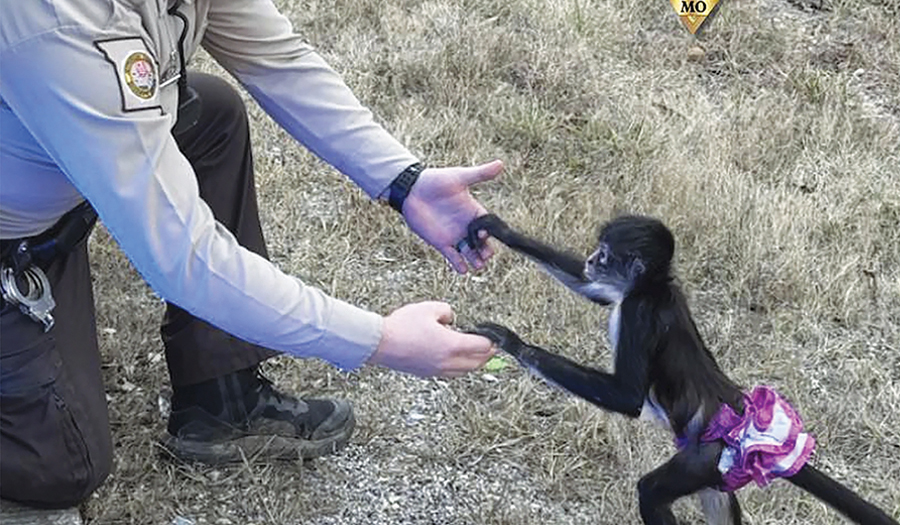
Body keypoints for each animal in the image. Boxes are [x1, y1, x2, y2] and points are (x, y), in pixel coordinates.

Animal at [465, 213, 898, 525]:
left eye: (604, 254)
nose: (590, 259)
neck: (653, 289)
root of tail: (741, 409)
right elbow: (592, 290)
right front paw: (499, 229)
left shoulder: (638, 313)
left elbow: (626, 397)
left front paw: (513, 343)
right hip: (716, 467)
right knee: (717, 501)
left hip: (704, 456)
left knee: (653, 491)